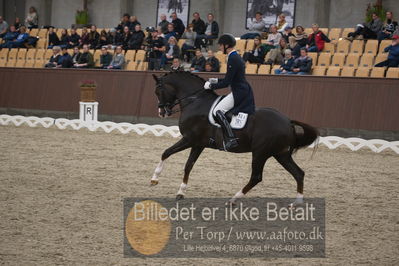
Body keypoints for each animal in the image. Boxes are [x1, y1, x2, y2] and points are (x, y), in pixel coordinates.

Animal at [150, 71, 318, 206]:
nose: (162, 112)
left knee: (256, 177)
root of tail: (288, 121)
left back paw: (233, 200)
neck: (195, 101)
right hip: (281, 154)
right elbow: (188, 165)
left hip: (260, 153)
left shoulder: (189, 139)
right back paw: (296, 203)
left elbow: (166, 153)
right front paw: (180, 192)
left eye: (158, 91)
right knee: (298, 173)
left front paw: (154, 179)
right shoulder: (198, 144)